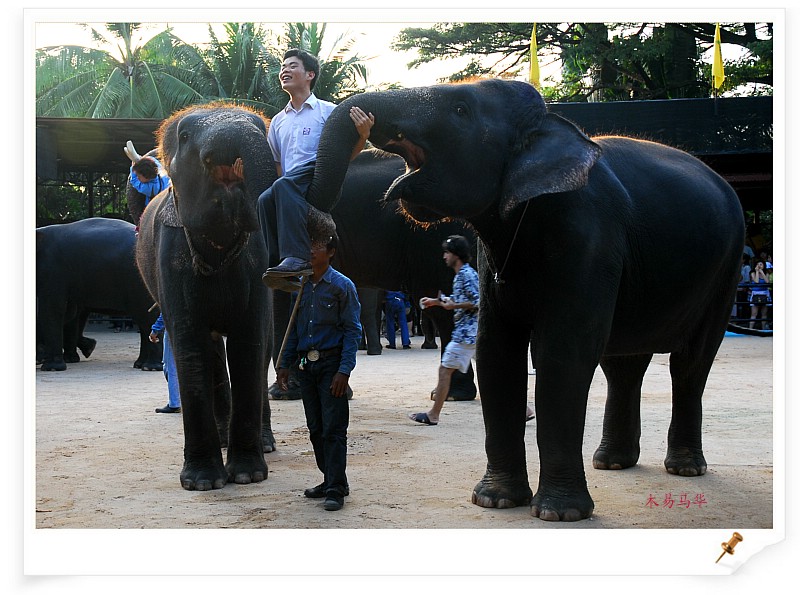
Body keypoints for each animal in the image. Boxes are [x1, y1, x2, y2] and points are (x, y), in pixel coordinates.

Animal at [36, 217, 162, 370]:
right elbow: (71, 313)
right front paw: (81, 353)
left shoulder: (53, 269)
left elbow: (52, 309)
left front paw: (52, 367)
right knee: (142, 319)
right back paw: (140, 364)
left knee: (146, 317)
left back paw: (150, 367)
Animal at [138, 103, 284, 494]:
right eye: (186, 135)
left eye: (261, 129)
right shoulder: (171, 255)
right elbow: (190, 346)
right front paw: (203, 483)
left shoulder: (256, 262)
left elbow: (249, 344)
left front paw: (248, 476)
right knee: (213, 350)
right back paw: (221, 441)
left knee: (263, 346)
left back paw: (265, 443)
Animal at [304, 78, 744, 520]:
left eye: (461, 109)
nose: (363, 121)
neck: (550, 125)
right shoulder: (491, 257)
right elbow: (496, 350)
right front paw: (494, 500)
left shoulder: (590, 235)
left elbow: (563, 353)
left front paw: (558, 513)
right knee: (623, 364)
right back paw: (612, 462)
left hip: (726, 270)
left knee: (690, 363)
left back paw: (684, 468)